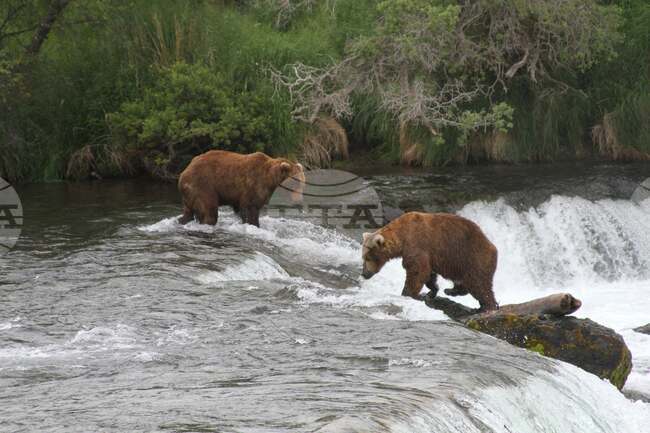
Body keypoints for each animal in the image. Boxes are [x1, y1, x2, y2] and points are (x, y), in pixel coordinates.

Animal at [361, 211, 499, 311]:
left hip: (472, 257)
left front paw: (407, 293)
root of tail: (493, 246)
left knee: (479, 284)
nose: (364, 274)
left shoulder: (416, 243)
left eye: (367, 258)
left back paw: (487, 306)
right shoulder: (428, 254)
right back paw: (451, 290)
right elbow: (428, 273)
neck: (402, 237)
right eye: (363, 257)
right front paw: (431, 291)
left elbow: (417, 270)